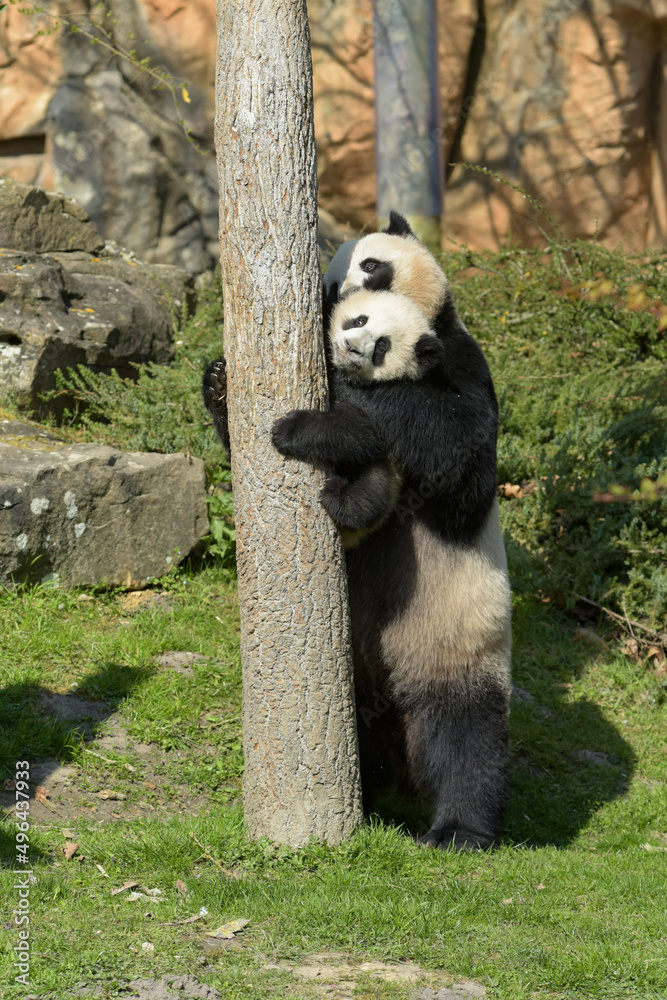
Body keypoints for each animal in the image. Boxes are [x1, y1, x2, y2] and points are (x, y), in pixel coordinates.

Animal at [272, 286, 512, 851]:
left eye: (382, 345)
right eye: (357, 319)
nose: (349, 347)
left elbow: (453, 458)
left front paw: (306, 426)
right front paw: (218, 383)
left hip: (450, 647)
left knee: (466, 738)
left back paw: (459, 829)